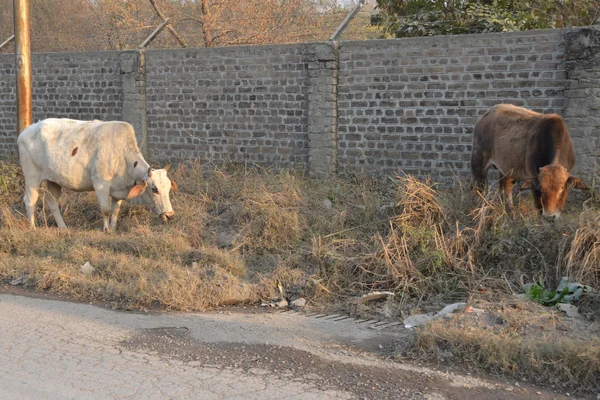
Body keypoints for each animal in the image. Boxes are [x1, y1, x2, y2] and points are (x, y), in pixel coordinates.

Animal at [17, 118, 177, 231]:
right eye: (154, 189)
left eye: (168, 188)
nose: (170, 215)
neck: (123, 157)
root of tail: (25, 132)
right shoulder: (101, 185)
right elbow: (105, 209)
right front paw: (106, 229)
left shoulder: (118, 190)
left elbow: (115, 210)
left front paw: (113, 228)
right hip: (32, 178)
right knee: (30, 201)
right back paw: (33, 227)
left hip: (54, 181)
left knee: (52, 202)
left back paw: (63, 227)